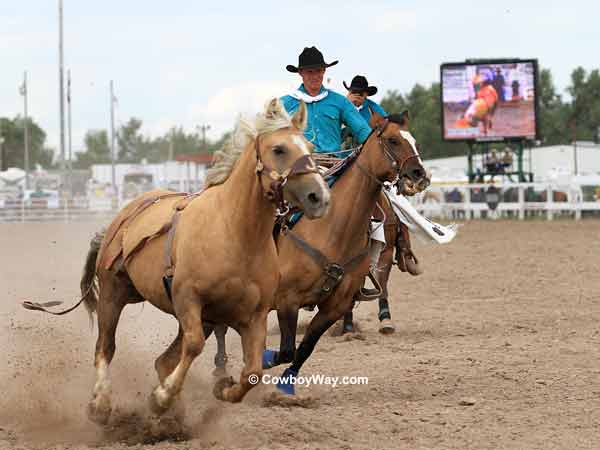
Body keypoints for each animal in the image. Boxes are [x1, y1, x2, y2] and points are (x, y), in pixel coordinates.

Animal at [24, 98, 332, 422]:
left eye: (310, 147)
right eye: (279, 149)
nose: (319, 197)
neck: (235, 234)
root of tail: (125, 215)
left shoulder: (253, 316)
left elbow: (252, 373)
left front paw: (221, 388)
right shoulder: (189, 299)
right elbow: (194, 347)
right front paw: (162, 397)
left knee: (163, 360)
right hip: (113, 293)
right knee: (105, 347)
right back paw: (101, 403)